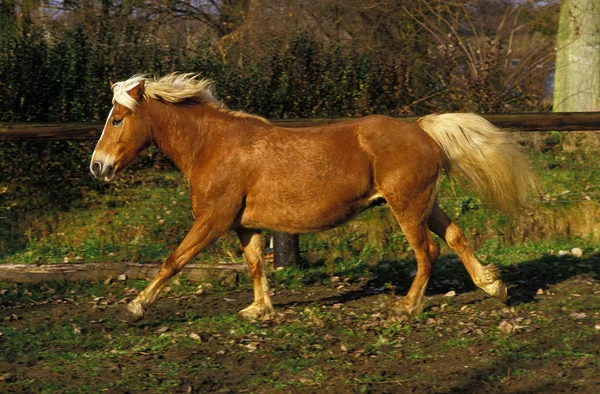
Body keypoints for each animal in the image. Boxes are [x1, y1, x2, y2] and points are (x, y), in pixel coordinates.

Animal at [90, 74, 536, 324]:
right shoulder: (245, 225)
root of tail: (421, 129)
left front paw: (133, 308)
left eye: (117, 119)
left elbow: (173, 261)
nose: (98, 166)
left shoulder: (213, 221)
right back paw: (494, 287)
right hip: (424, 204)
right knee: (456, 237)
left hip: (407, 207)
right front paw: (260, 310)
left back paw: (407, 307)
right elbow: (255, 266)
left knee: (427, 252)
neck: (212, 147)